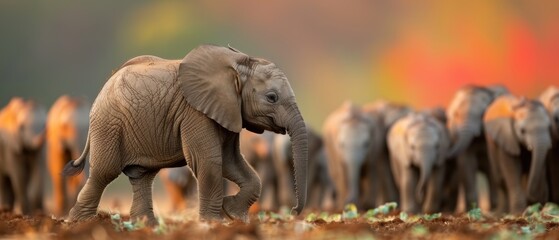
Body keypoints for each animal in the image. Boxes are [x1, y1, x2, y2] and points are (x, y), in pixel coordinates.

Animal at [65, 45, 310, 225]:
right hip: (108, 124)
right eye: (272, 97)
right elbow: (209, 161)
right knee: (104, 172)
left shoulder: (227, 110)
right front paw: (214, 222)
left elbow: (231, 162)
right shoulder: (195, 112)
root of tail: (104, 87)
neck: (237, 65)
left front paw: (233, 214)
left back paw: (146, 225)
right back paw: (79, 223)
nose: (294, 211)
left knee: (142, 176)